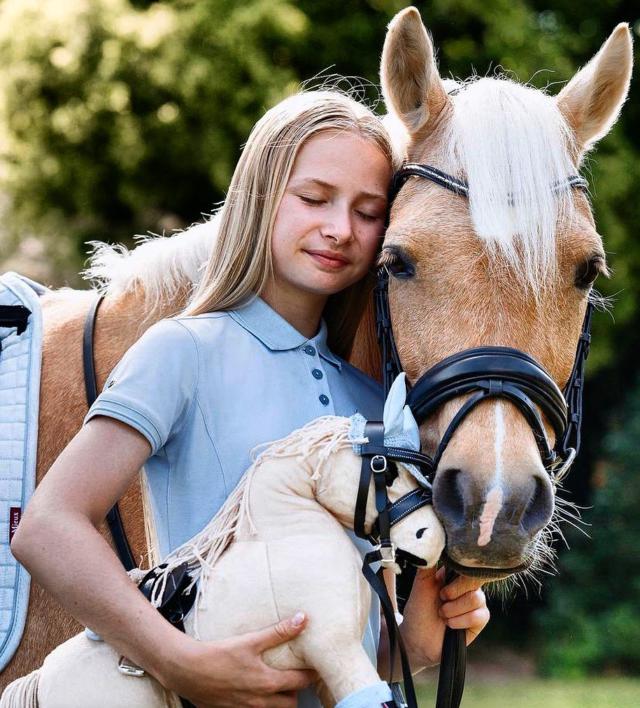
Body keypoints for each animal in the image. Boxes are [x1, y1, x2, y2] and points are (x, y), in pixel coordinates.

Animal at [1, 398, 446, 707]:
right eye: (385, 468)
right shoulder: (334, 649)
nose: (434, 538)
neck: (284, 539)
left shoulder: (325, 669)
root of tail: (39, 682)